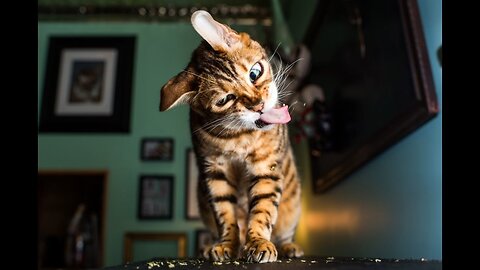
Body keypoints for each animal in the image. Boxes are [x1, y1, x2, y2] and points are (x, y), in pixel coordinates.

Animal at [161, 11, 304, 264]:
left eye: (255, 73)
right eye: (225, 100)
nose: (258, 106)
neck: (239, 137)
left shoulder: (266, 167)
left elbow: (263, 210)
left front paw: (258, 242)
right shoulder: (214, 173)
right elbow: (225, 215)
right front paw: (227, 244)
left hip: (293, 206)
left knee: (284, 233)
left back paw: (289, 247)